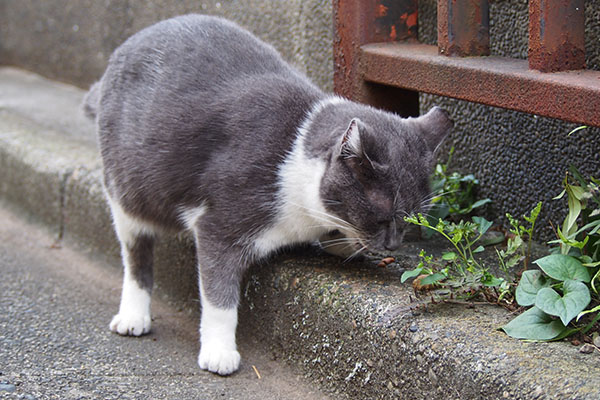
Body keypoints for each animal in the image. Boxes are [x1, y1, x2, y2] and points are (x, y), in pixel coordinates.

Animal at [82, 14, 452, 376]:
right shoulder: (220, 223)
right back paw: (133, 316)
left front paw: (343, 241)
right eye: (383, 215)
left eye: (414, 219)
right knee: (136, 255)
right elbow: (219, 294)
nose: (393, 245)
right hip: (127, 192)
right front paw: (219, 352)